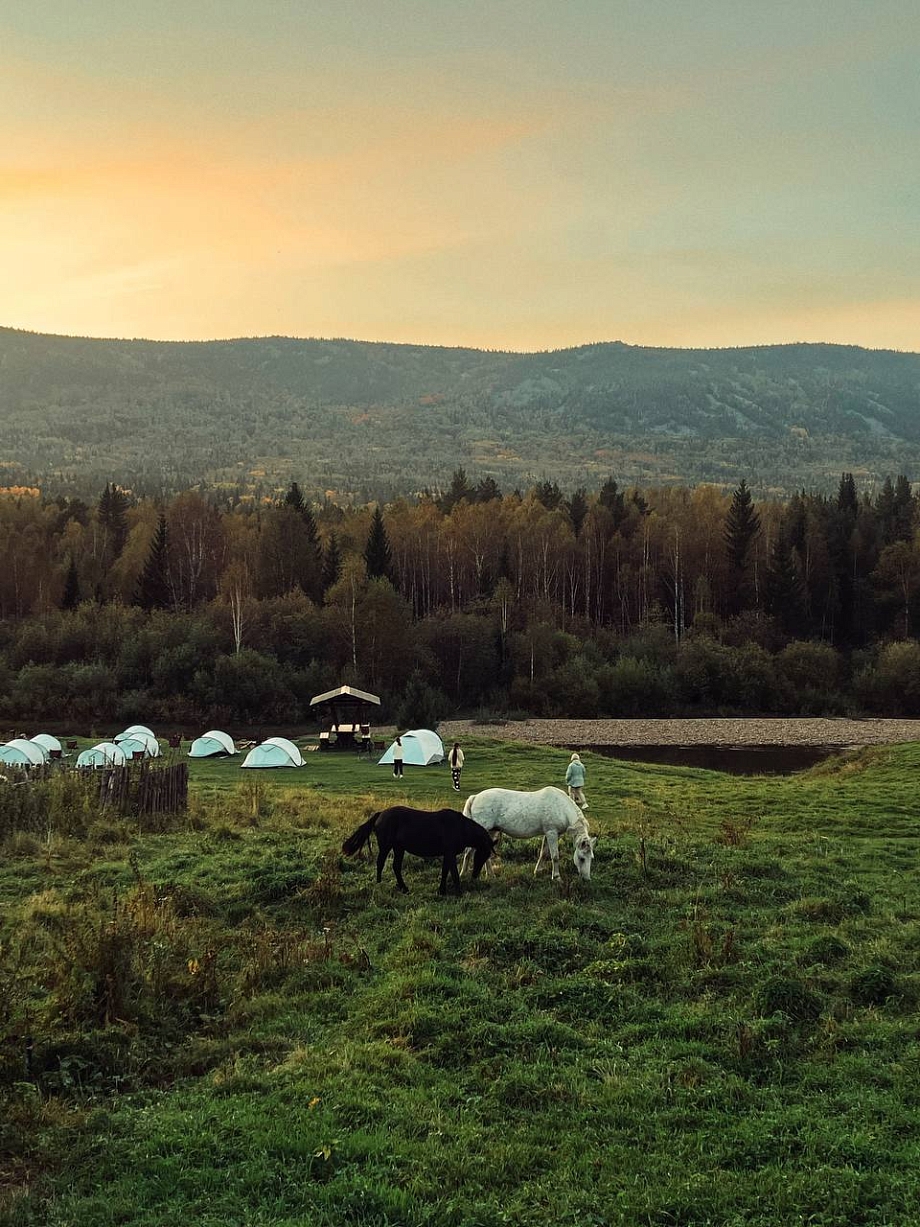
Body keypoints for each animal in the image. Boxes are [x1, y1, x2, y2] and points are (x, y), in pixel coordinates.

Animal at [343, 800, 498, 898]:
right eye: (483, 853)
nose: (475, 875)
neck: (460, 827)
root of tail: (380, 814)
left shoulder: (447, 855)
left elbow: (445, 872)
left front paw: (441, 891)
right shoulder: (450, 853)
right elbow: (453, 873)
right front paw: (459, 893)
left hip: (398, 848)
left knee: (396, 867)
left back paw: (404, 888)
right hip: (386, 846)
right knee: (380, 863)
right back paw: (379, 884)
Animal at [461, 785, 598, 883]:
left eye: (591, 858)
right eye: (581, 858)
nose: (586, 879)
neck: (561, 808)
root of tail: (475, 797)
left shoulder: (550, 834)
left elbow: (544, 853)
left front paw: (537, 871)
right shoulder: (551, 833)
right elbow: (555, 856)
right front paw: (557, 877)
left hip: (491, 831)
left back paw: (490, 875)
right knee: (468, 851)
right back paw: (463, 874)